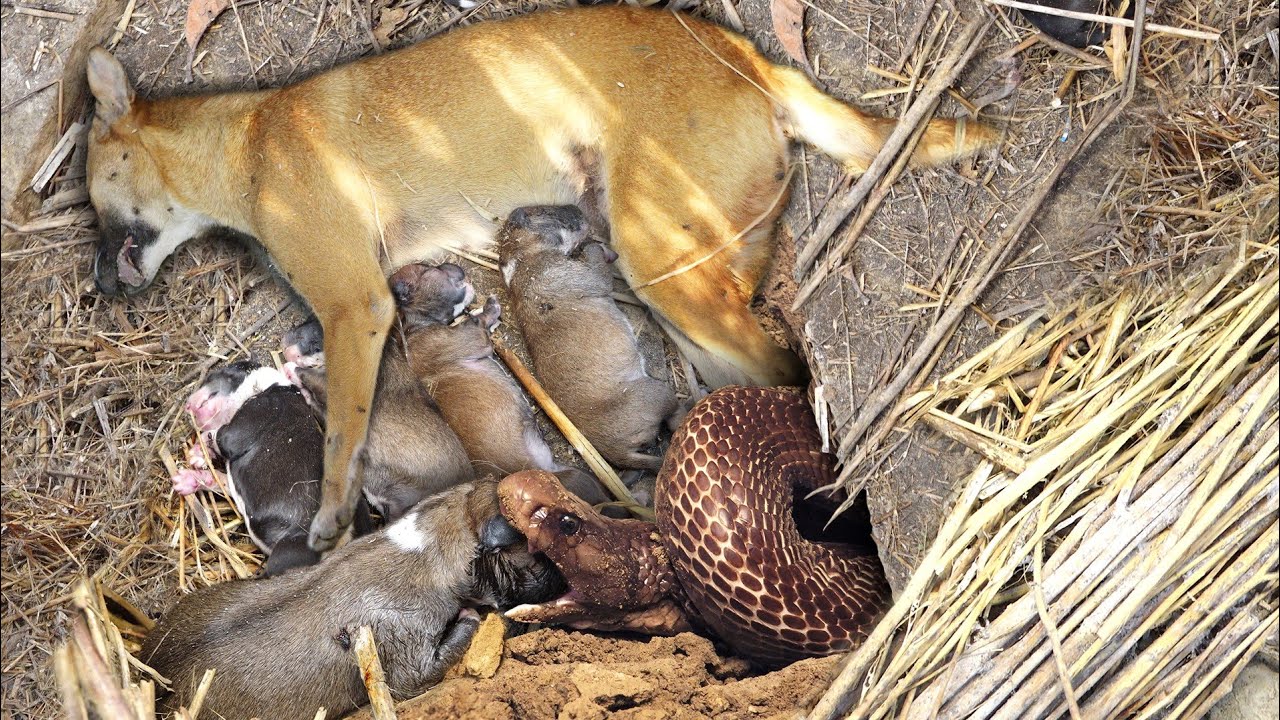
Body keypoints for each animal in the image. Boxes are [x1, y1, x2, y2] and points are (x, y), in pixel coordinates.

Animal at [386, 262, 611, 504]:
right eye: (427, 268)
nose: (451, 264)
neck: (412, 327)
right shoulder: (472, 337)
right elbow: (479, 321)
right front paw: (489, 307)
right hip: (576, 479)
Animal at [496, 204, 680, 468]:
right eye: (549, 213)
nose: (576, 207)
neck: (522, 258)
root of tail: (618, 453)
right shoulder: (589, 275)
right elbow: (595, 259)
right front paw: (599, 249)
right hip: (658, 392)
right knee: (674, 418)